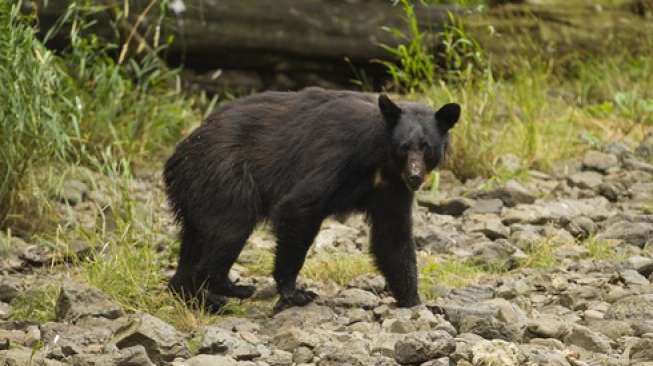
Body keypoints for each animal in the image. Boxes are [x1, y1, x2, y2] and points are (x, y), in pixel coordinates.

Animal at [162, 87, 458, 310]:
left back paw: (195, 295)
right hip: (224, 177)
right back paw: (230, 288)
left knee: (196, 239)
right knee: (230, 229)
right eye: (404, 147)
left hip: (199, 193)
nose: (415, 177)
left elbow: (393, 236)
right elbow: (299, 207)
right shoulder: (336, 156)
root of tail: (177, 155)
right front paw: (295, 292)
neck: (380, 159)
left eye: (427, 147)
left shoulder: (392, 187)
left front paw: (413, 299)